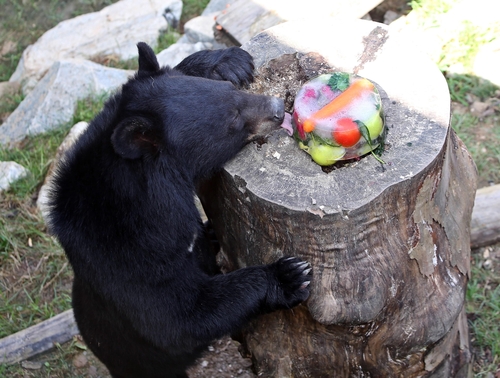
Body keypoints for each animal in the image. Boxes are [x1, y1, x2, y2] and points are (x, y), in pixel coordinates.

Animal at [47, 42, 312, 376]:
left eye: (231, 91)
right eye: (233, 120)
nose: (278, 108)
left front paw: (231, 62)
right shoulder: (127, 256)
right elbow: (177, 318)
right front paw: (289, 276)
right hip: (138, 361)